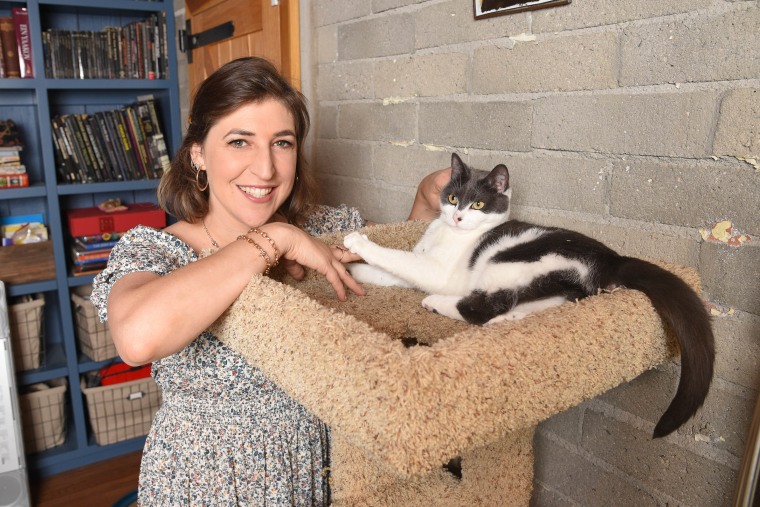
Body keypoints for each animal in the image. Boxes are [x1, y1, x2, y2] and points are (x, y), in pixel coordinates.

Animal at [348, 152, 716, 436]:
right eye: (452, 198)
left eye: (478, 204)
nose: (458, 216)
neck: (448, 233)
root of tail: (611, 258)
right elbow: (393, 271)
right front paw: (355, 272)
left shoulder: (440, 272)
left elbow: (401, 261)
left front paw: (358, 244)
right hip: (553, 283)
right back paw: (509, 319)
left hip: (509, 259)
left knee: (482, 306)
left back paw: (438, 304)